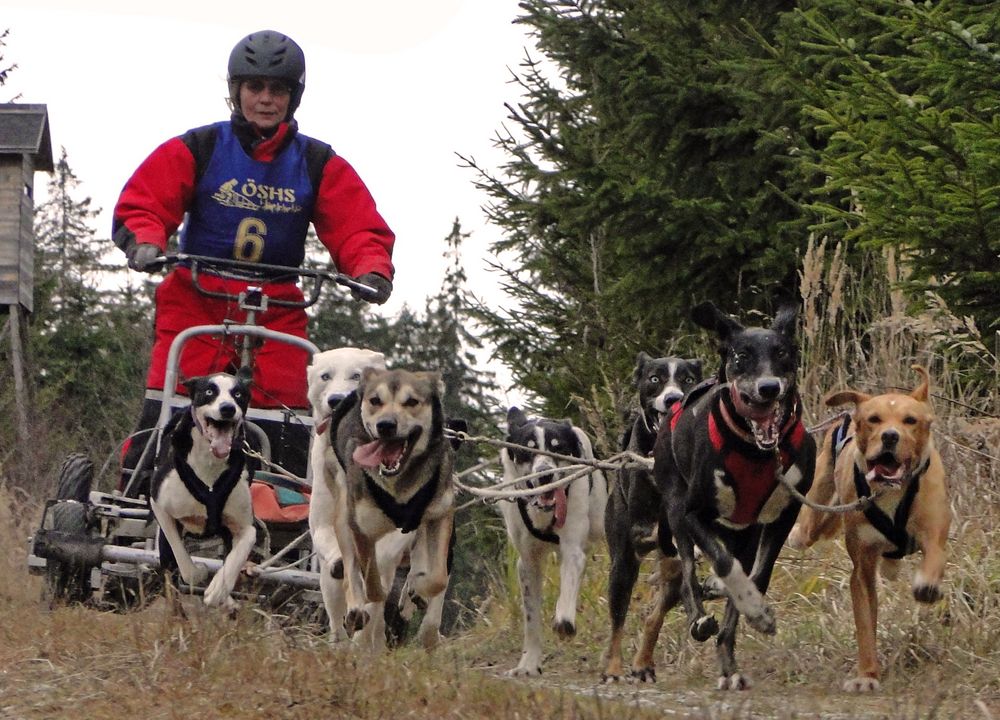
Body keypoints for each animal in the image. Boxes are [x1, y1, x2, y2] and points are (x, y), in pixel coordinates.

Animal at [150, 368, 258, 612]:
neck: (209, 465)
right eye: (209, 391)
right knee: (170, 572)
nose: (227, 408)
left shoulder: (245, 526)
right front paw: (198, 572)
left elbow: (239, 553)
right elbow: (183, 562)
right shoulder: (160, 506)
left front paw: (219, 590)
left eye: (238, 394)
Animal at [500, 408, 608, 676]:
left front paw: (564, 621)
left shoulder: (572, 549)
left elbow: (568, 586)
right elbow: (531, 621)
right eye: (527, 449)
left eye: (557, 448)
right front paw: (528, 664)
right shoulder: (527, 562)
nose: (545, 473)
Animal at [600, 352, 704, 680]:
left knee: (654, 616)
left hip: (672, 586)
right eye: (655, 378)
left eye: (687, 379)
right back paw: (613, 667)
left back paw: (643, 662)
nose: (673, 398)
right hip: (622, 567)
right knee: (617, 622)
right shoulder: (638, 532)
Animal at [652, 300, 816, 688]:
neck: (754, 451)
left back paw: (729, 662)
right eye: (742, 355)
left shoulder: (783, 515)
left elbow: (758, 576)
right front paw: (753, 606)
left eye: (782, 352)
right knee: (688, 574)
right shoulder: (694, 514)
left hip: (746, 531)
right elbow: (724, 562)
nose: (768, 387)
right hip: (676, 509)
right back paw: (699, 617)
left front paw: (754, 609)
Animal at [792, 366, 948, 692]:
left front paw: (927, 586)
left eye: (910, 420)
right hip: (820, 503)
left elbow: (934, 558)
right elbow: (865, 622)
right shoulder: (862, 562)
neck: (889, 492)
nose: (890, 436)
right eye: (874, 419)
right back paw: (798, 534)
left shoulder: (934, 533)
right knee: (809, 528)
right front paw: (867, 674)